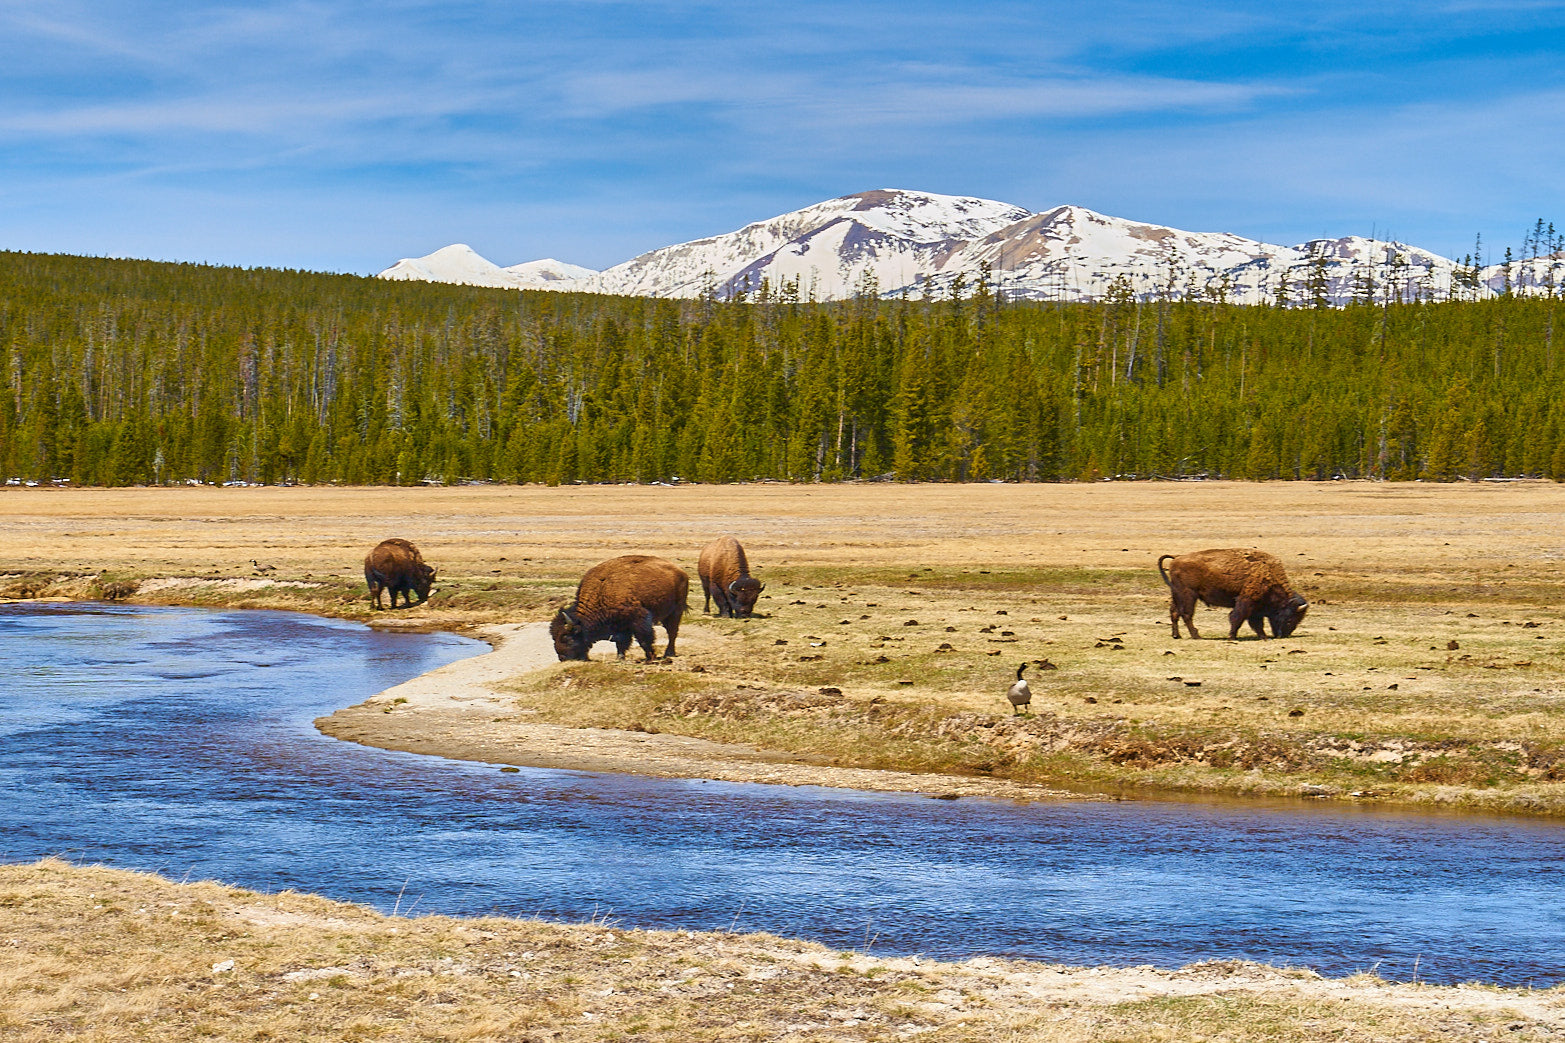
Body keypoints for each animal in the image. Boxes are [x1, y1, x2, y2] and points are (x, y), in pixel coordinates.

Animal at [550, 554, 689, 661]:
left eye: (566, 637)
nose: (562, 658)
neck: (601, 592)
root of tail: (681, 572)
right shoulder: (620, 626)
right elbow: (621, 643)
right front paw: (620, 658)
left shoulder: (639, 618)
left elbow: (644, 639)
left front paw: (651, 657)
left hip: (676, 611)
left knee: (672, 632)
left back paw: (669, 653)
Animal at [1157, 548, 1308, 640]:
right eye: (1290, 619)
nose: (1283, 635)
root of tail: (1177, 558)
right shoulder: (1246, 602)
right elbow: (1238, 618)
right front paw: (1232, 636)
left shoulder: (1255, 608)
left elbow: (1256, 623)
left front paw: (1263, 637)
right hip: (1188, 595)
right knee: (1186, 614)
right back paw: (1197, 636)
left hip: (1177, 595)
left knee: (1175, 613)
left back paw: (1177, 635)